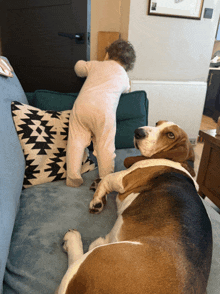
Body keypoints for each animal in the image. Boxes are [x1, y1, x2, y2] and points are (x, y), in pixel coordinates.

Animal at [57, 120, 212, 292]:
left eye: (171, 135)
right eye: (157, 123)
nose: (138, 132)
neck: (179, 162)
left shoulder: (123, 179)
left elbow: (107, 178)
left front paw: (97, 200)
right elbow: (104, 179)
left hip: (95, 256)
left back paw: (72, 239)